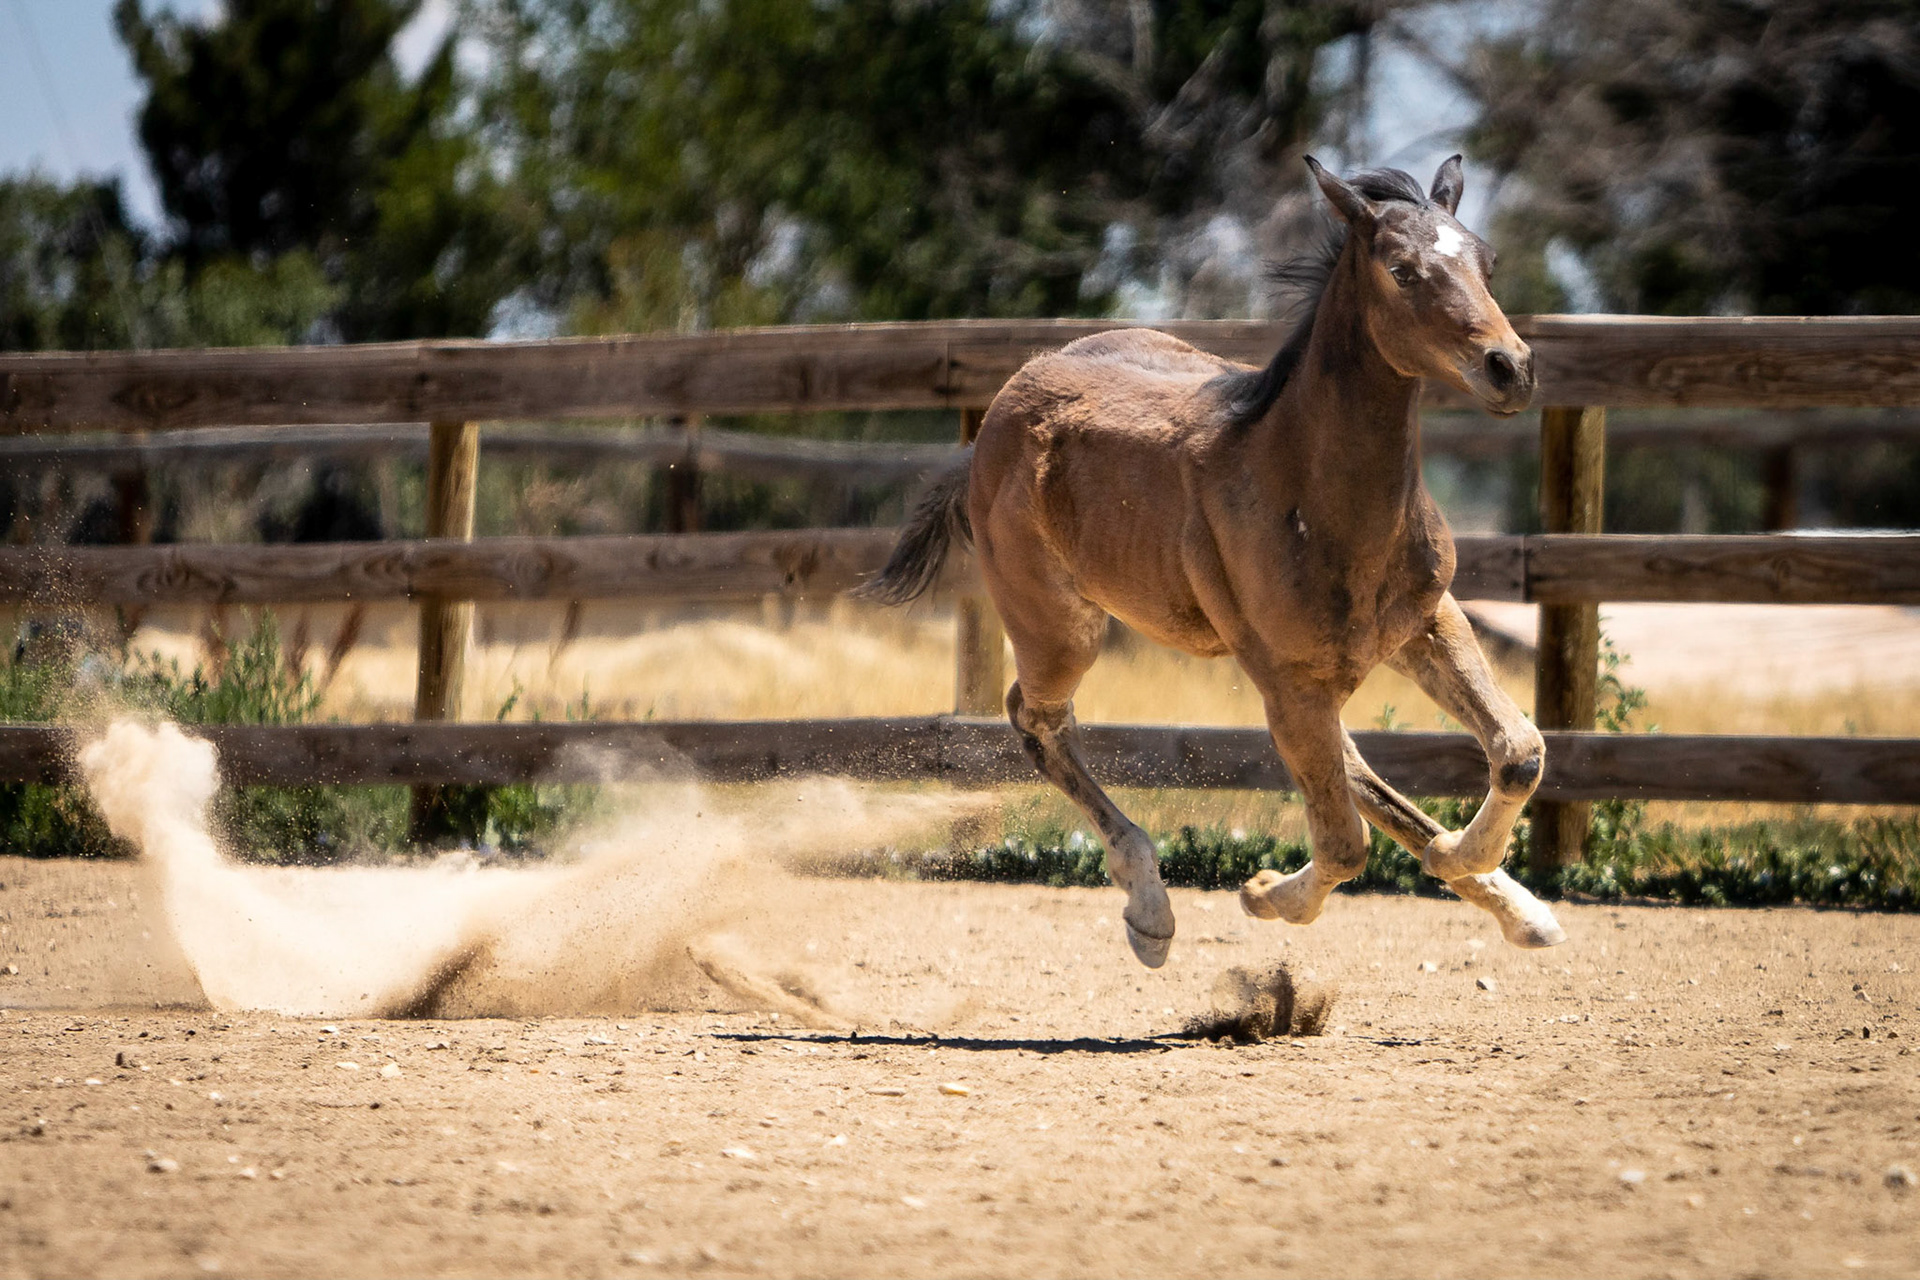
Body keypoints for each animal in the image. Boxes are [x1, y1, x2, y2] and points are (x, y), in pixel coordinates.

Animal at [862, 156, 1568, 968]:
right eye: (1401, 270)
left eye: (1488, 260)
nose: (1510, 367)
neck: (1309, 494)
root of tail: (995, 422)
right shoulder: (1289, 679)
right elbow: (1343, 845)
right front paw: (1263, 894)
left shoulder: (1425, 622)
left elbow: (1519, 749)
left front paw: (1473, 869)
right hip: (1063, 630)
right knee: (1036, 718)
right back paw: (1149, 909)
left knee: (1353, 765)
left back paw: (1514, 905)